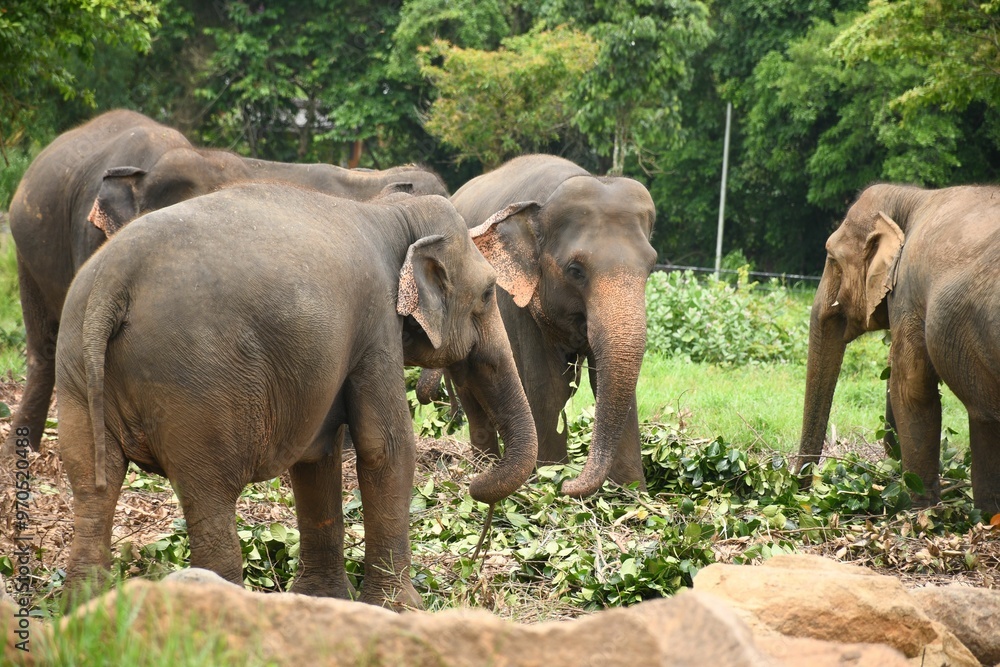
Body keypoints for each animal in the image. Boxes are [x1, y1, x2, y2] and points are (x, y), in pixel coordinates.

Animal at [54, 184, 540, 612]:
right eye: (488, 293)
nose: (476, 484)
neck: (391, 213)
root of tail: (114, 281)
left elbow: (316, 455)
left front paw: (322, 600)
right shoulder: (375, 327)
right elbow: (386, 447)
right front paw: (402, 609)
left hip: (76, 364)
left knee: (93, 482)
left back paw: (84, 610)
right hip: (192, 383)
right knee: (209, 493)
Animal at [420, 154, 656, 498]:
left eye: (651, 267)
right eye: (575, 270)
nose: (571, 484)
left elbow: (610, 383)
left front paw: (630, 494)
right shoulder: (510, 298)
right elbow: (547, 386)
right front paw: (549, 482)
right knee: (471, 390)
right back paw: (484, 466)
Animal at [796, 185, 1000, 516]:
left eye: (832, 259)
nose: (801, 494)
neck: (912, 197)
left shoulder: (907, 293)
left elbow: (911, 388)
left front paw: (920, 512)